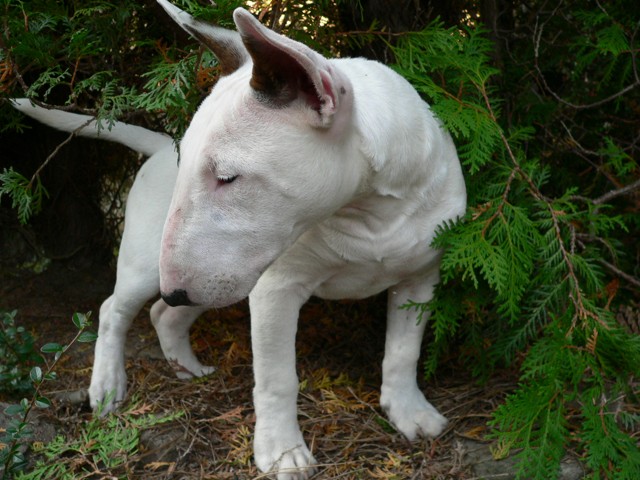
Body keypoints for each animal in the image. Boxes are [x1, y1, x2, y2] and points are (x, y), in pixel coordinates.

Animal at [15, 0, 466, 477]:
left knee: (163, 314)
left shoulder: (421, 277)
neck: (369, 212)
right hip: (154, 266)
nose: (175, 287)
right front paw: (283, 453)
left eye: (228, 177)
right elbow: (276, 378)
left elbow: (403, 352)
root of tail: (156, 145)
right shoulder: (276, 290)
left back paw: (186, 365)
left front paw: (410, 414)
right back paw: (106, 386)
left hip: (218, 282)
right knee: (113, 310)